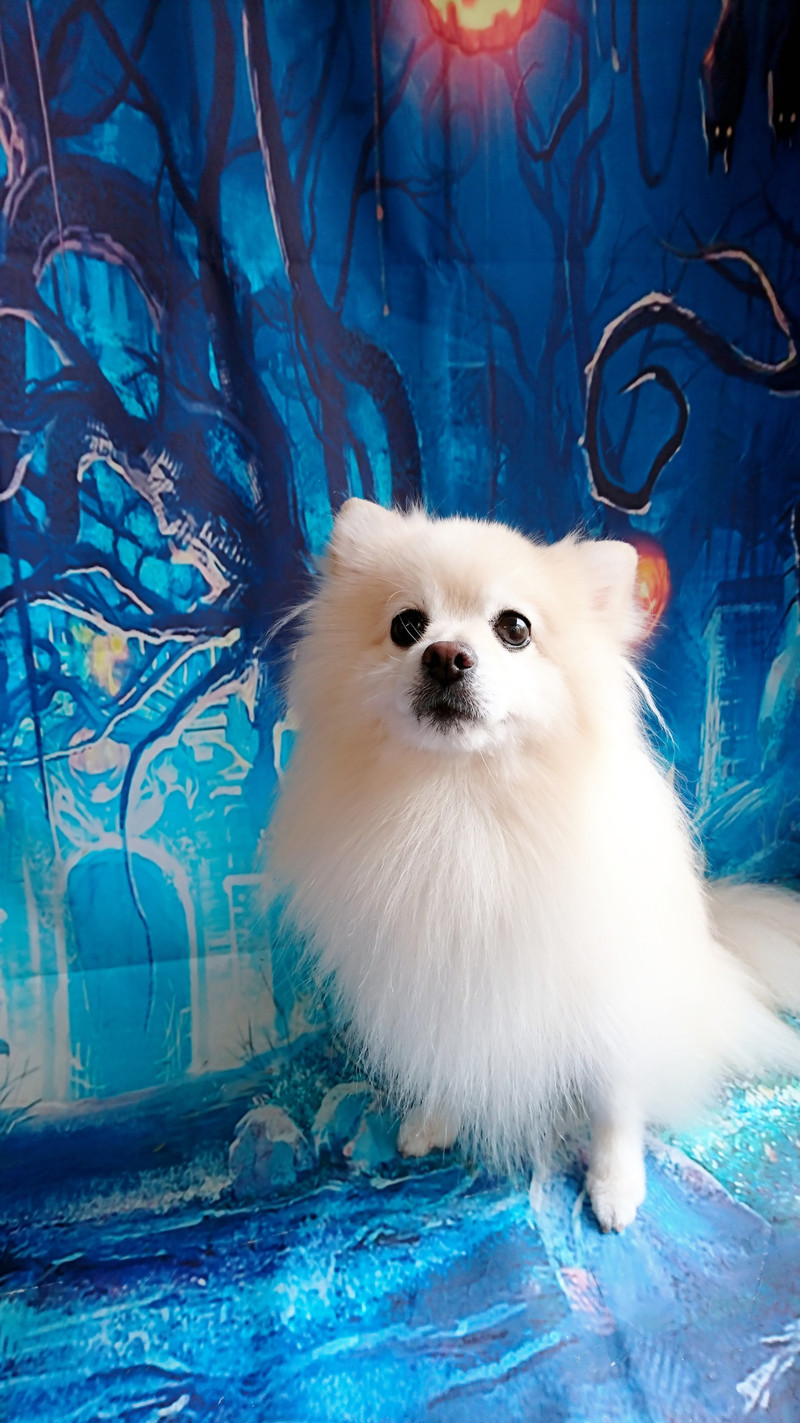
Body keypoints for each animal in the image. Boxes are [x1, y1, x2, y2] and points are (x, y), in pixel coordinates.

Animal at [269, 499, 800, 1231]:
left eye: (513, 628)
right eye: (407, 626)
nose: (445, 655)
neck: (459, 806)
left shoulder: (609, 999)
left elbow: (615, 1102)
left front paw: (614, 1183)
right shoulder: (440, 983)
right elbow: (452, 1057)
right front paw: (436, 1117)